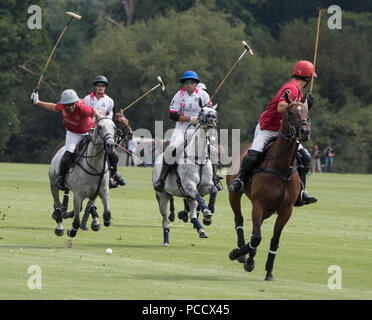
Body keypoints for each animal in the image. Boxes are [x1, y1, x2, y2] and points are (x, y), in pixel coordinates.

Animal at [153, 104, 219, 245]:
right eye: (201, 111)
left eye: (214, 111)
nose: (211, 117)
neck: (198, 158)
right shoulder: (189, 186)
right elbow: (200, 197)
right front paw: (206, 212)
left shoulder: (205, 186)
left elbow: (214, 190)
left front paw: (208, 215)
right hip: (162, 195)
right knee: (165, 220)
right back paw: (166, 240)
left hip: (186, 196)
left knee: (193, 213)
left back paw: (201, 230)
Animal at [227, 91, 310, 282]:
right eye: (291, 112)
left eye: (306, 112)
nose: (305, 131)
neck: (281, 167)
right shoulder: (259, 203)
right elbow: (256, 237)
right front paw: (238, 254)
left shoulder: (286, 209)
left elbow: (274, 239)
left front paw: (269, 271)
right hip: (235, 195)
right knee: (239, 220)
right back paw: (243, 254)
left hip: (270, 210)